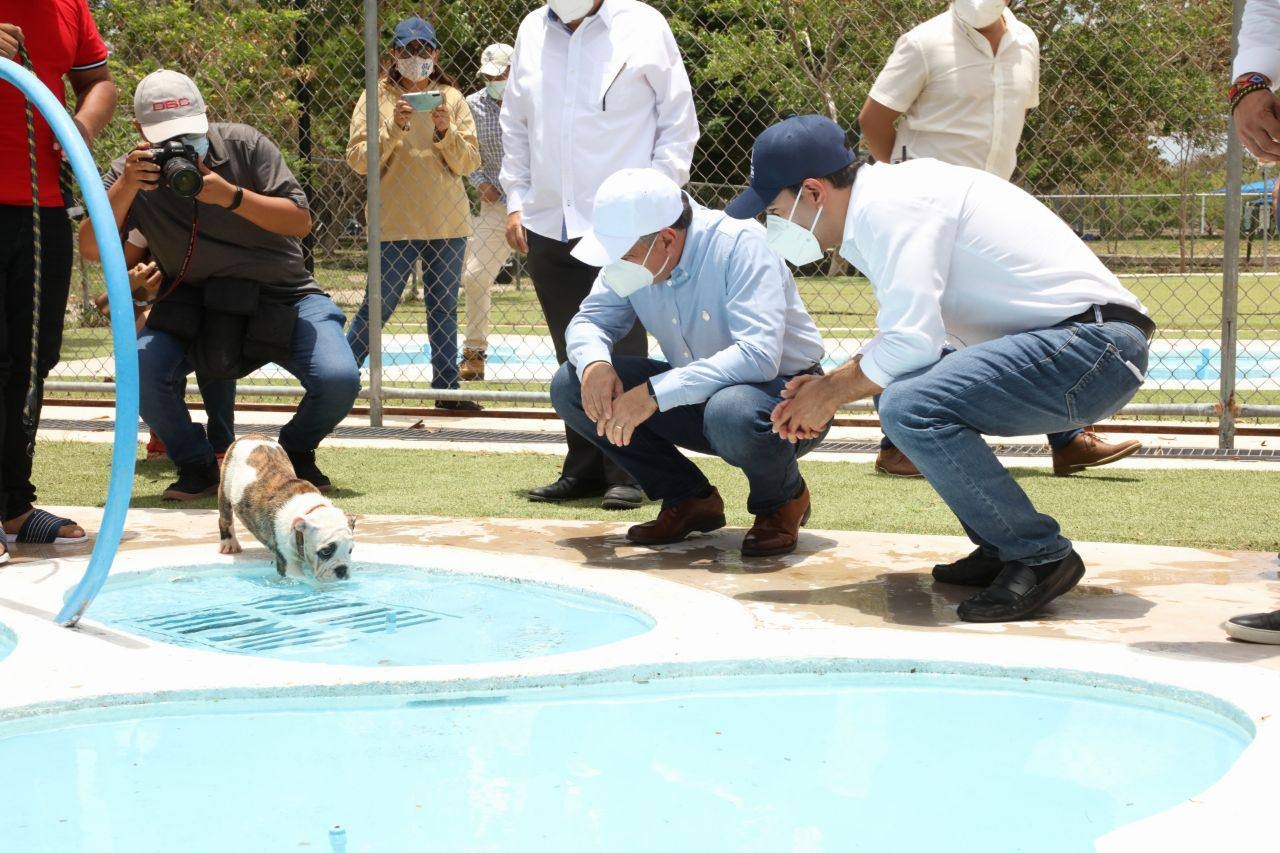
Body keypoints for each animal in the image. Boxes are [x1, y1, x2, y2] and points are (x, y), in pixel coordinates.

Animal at [216, 432, 353, 578]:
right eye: (325, 552)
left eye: (350, 550)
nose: (342, 569)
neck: (309, 510)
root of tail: (251, 435)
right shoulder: (289, 564)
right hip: (225, 487)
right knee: (225, 518)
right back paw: (229, 543)